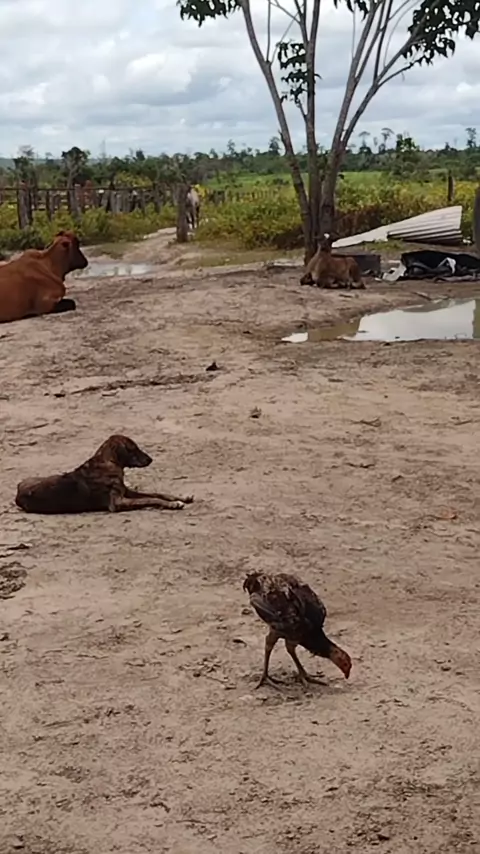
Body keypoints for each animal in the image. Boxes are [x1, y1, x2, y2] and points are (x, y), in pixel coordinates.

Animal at [15, 434, 195, 515]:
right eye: (133, 448)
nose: (151, 459)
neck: (108, 462)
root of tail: (17, 493)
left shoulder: (127, 491)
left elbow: (156, 493)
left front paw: (180, 497)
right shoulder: (119, 502)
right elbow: (150, 499)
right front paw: (173, 504)